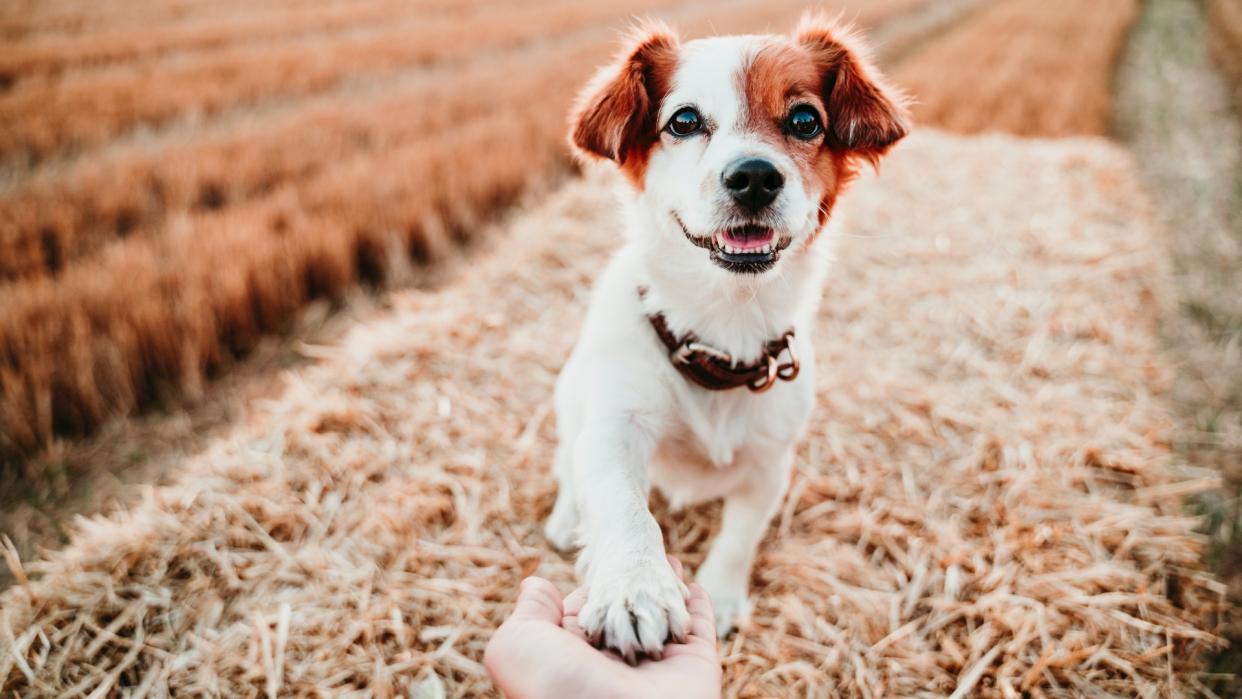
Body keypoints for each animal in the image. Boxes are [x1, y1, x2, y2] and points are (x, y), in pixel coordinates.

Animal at [543, 16, 904, 660]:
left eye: (804, 120)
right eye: (684, 121)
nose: (754, 176)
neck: (721, 331)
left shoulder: (770, 461)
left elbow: (741, 535)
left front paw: (723, 595)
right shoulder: (616, 428)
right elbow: (621, 505)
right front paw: (635, 586)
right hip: (572, 395)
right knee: (568, 462)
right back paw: (565, 518)